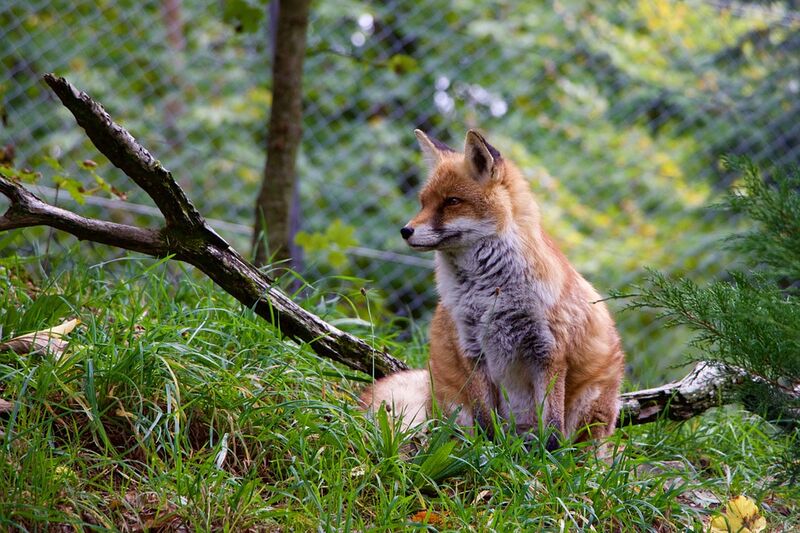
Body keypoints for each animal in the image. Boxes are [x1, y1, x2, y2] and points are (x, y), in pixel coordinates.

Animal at [361, 129, 625, 448]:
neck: (488, 293)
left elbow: (551, 426)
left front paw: (547, 456)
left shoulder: (548, 351)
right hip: (451, 402)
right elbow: (486, 421)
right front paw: (488, 451)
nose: (405, 231)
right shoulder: (472, 349)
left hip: (592, 408)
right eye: (423, 202)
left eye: (451, 201)